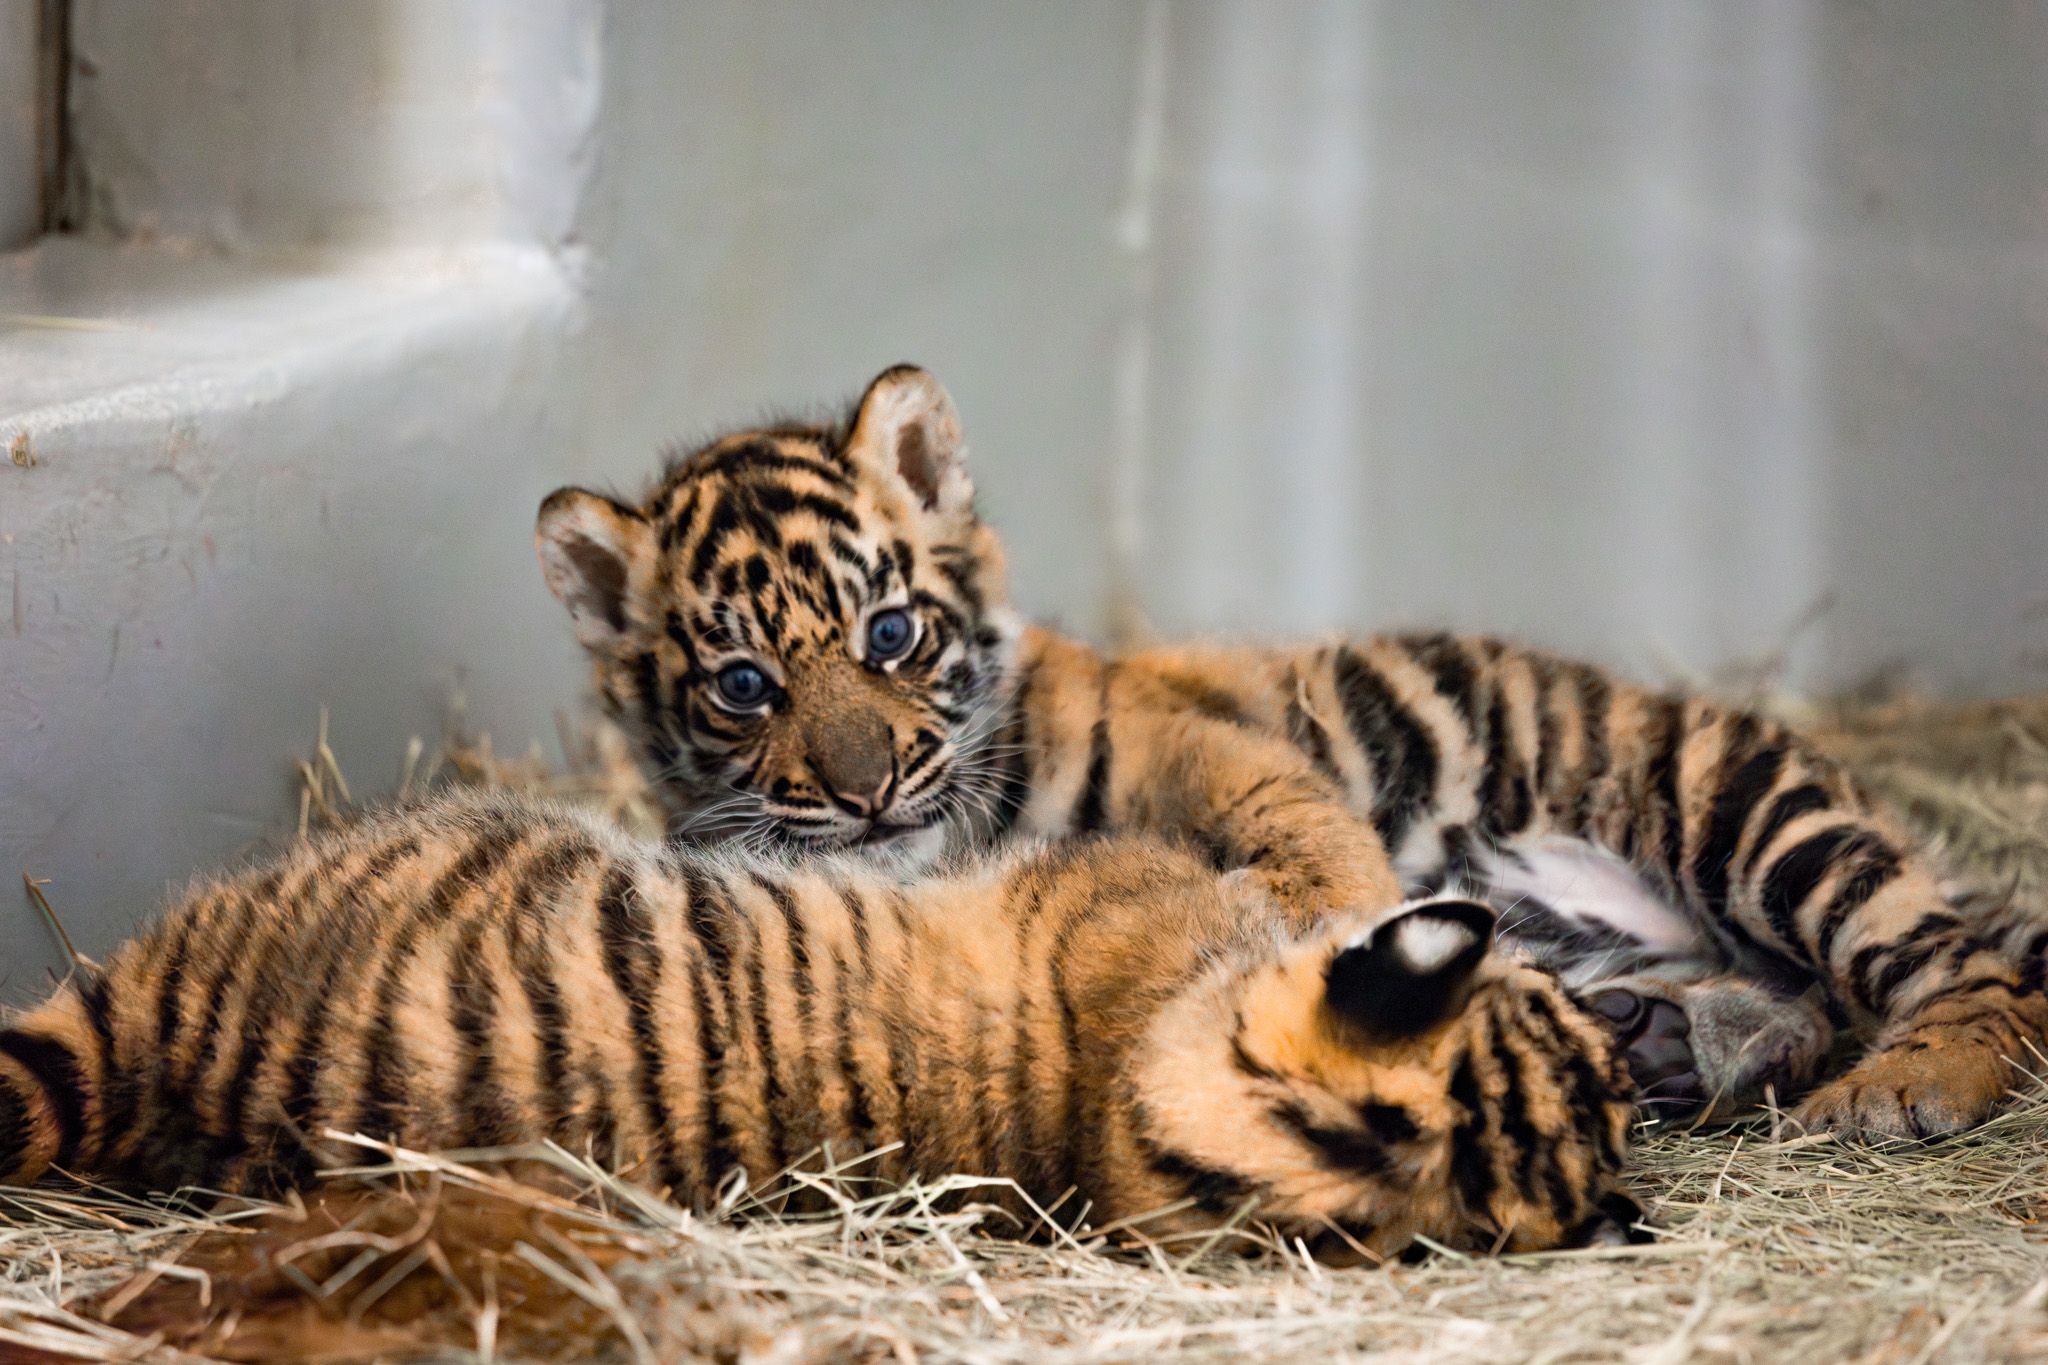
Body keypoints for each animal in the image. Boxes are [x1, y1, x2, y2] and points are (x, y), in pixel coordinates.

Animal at [535, 363, 2048, 1142]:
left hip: (1747, 815)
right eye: (745, 686)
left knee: (1952, 964)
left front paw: (1331, 927)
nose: (864, 793)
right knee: (1795, 993)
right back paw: (1688, 1045)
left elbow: (1304, 831)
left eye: (892, 632)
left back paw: (1905, 1086)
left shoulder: (1203, 747)